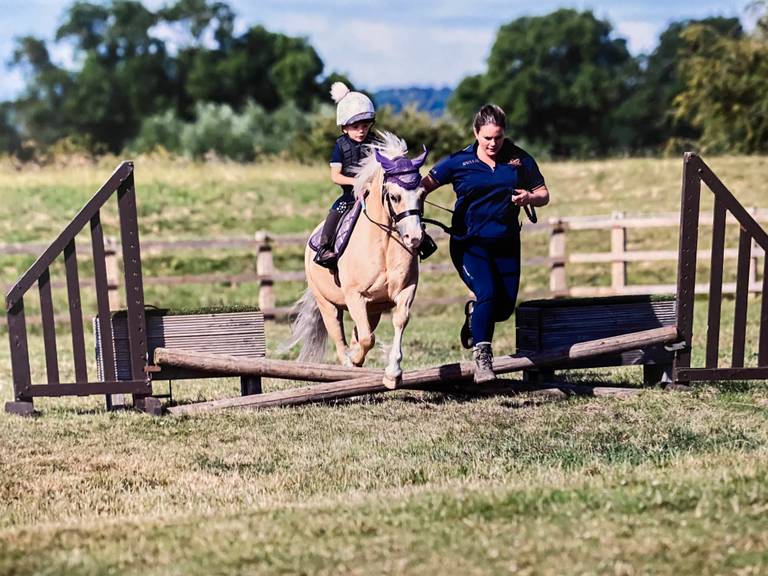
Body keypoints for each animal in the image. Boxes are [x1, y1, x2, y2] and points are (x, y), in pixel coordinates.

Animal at [287, 131, 428, 389]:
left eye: (422, 194)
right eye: (395, 196)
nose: (414, 238)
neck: (383, 245)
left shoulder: (405, 291)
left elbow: (398, 322)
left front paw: (393, 373)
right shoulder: (355, 296)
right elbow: (366, 340)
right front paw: (355, 360)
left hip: (372, 310)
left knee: (357, 335)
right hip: (328, 305)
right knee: (340, 337)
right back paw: (348, 363)